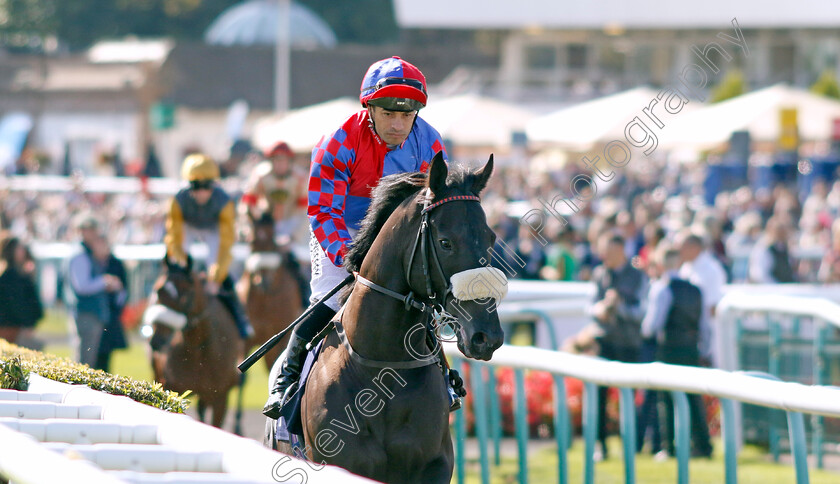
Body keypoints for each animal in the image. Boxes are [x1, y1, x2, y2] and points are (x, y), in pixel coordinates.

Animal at [144, 258, 241, 428]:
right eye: (158, 290)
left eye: (185, 293)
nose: (157, 340)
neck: (198, 348)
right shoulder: (171, 386)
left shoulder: (219, 396)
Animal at [235, 209, 304, 370]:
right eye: (251, 241)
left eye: (272, 240)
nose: (264, 281)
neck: (264, 300)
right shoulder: (246, 340)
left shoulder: (280, 341)